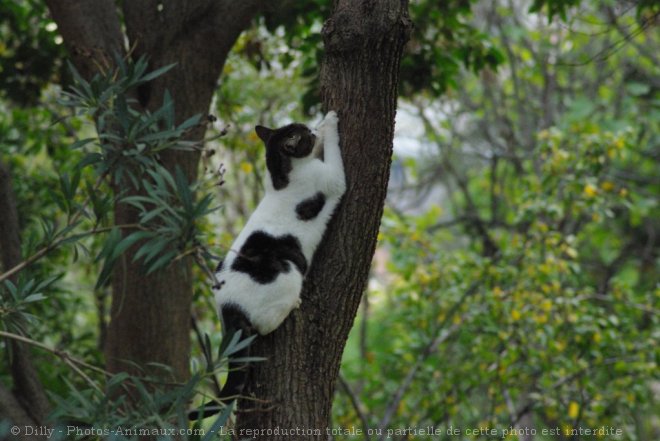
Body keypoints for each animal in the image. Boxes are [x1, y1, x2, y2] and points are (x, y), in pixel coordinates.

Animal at [191, 110, 346, 416]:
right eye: (303, 134)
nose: (312, 128)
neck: (280, 177)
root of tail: (229, 305)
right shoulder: (333, 178)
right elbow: (334, 156)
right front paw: (330, 123)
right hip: (287, 270)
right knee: (265, 325)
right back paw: (293, 304)